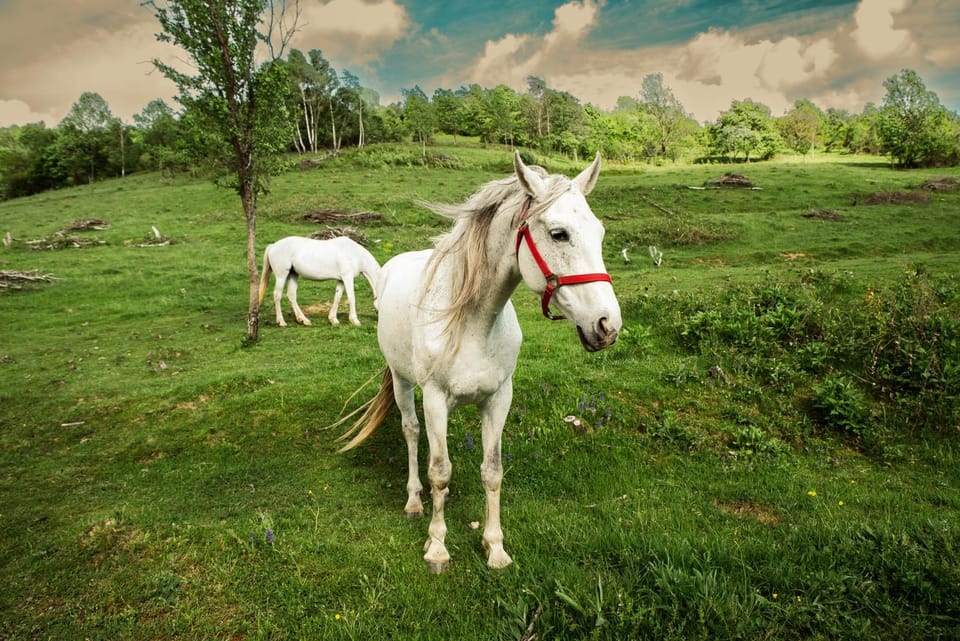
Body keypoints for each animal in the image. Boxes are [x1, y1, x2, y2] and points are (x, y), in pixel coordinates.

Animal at [337, 151, 621, 572]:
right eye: (559, 234)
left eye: (599, 233)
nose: (607, 325)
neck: (473, 322)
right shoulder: (434, 398)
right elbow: (440, 471)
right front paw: (437, 547)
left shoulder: (498, 399)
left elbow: (492, 472)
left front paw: (495, 547)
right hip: (404, 384)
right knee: (412, 433)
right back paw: (414, 500)